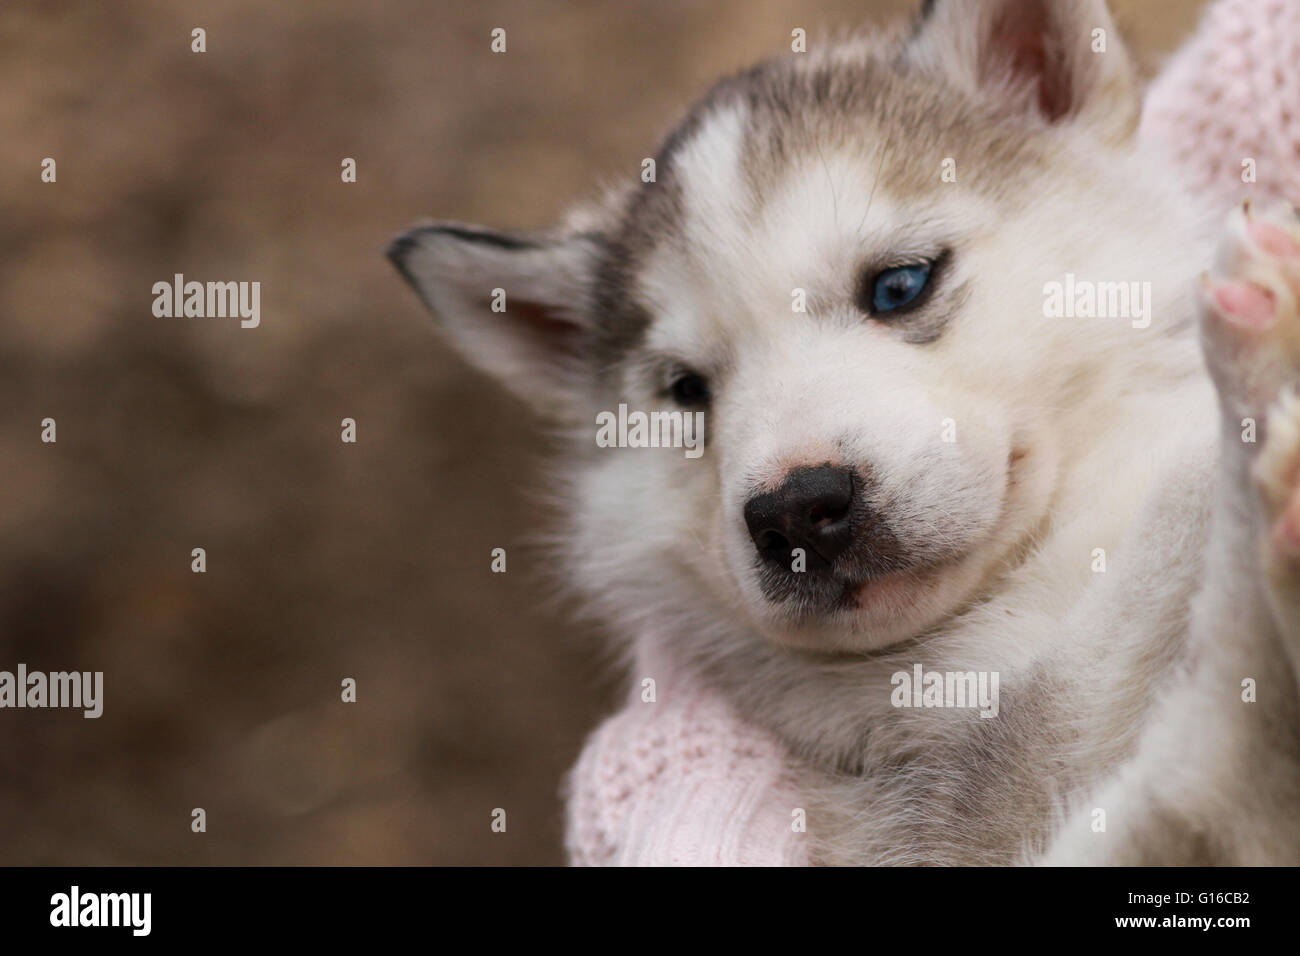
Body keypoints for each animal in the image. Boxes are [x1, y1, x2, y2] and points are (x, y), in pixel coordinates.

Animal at [387, 0, 1300, 868]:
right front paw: (1248, 408)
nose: (794, 510)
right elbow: (1198, 756)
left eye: (899, 285)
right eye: (687, 391)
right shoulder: (961, 798)